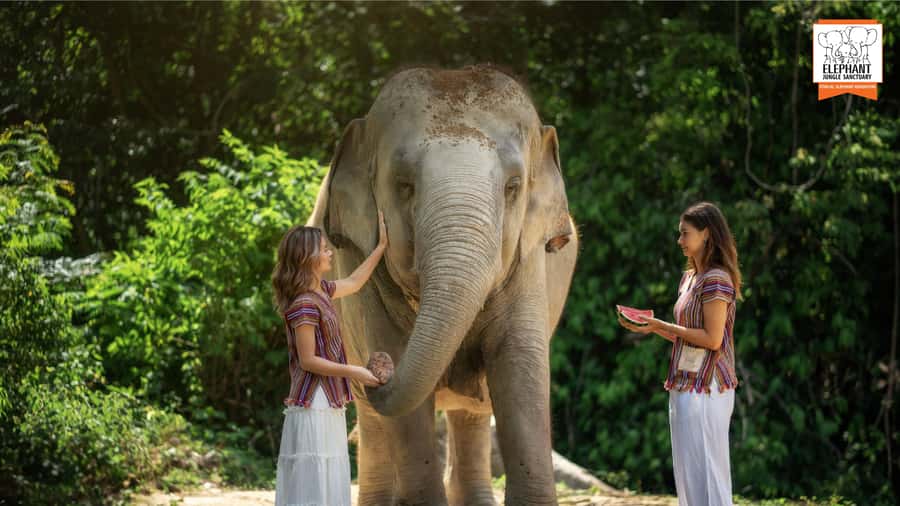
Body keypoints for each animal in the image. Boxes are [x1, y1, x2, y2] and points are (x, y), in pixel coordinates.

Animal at [305, 64, 578, 505]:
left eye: (513, 187)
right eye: (404, 186)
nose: (377, 367)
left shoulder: (530, 259)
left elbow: (519, 366)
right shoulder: (359, 264)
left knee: (473, 411)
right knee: (375, 419)